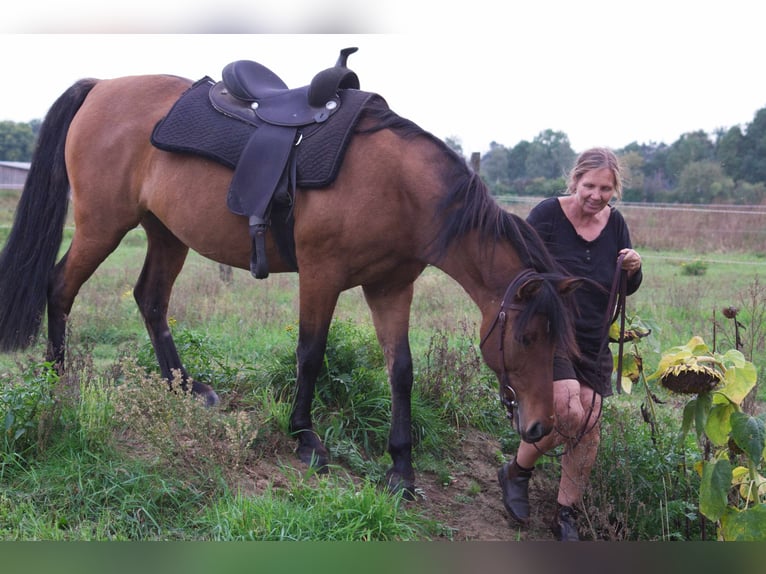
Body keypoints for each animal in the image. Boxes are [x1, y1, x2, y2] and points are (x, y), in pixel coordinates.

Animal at [0, 60, 576, 498]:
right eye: (527, 337)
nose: (540, 427)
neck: (400, 188)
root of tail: (101, 86)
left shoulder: (391, 287)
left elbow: (402, 371)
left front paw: (401, 468)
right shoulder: (321, 275)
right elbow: (310, 353)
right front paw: (304, 438)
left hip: (165, 233)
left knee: (150, 299)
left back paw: (185, 388)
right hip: (103, 225)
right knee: (60, 287)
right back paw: (55, 386)